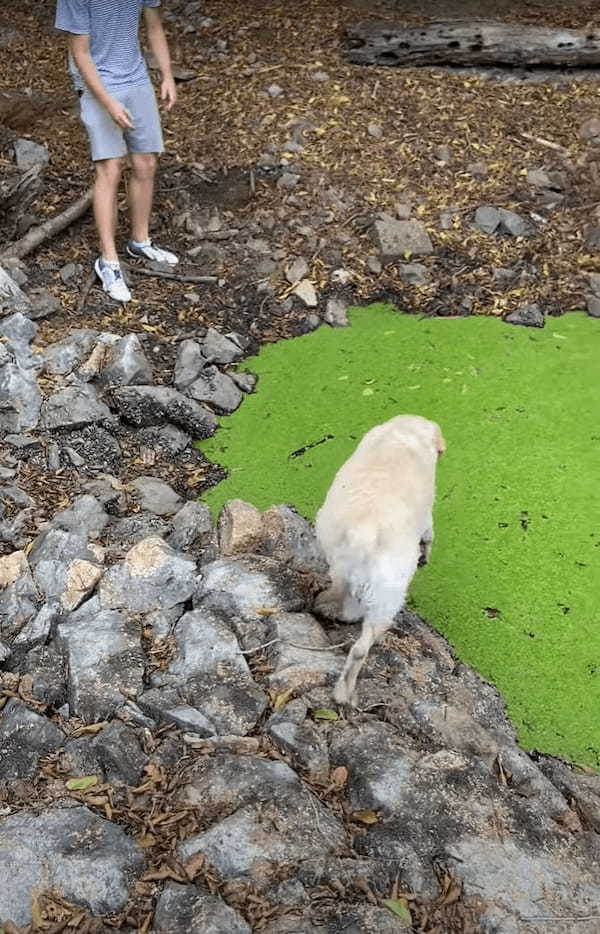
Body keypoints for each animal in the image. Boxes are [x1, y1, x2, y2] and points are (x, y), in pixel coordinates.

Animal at [314, 414, 446, 704]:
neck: (403, 433)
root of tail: (363, 533)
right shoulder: (427, 515)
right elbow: (429, 534)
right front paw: (426, 553)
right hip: (389, 594)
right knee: (361, 647)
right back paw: (345, 692)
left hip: (342, 570)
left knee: (348, 609)